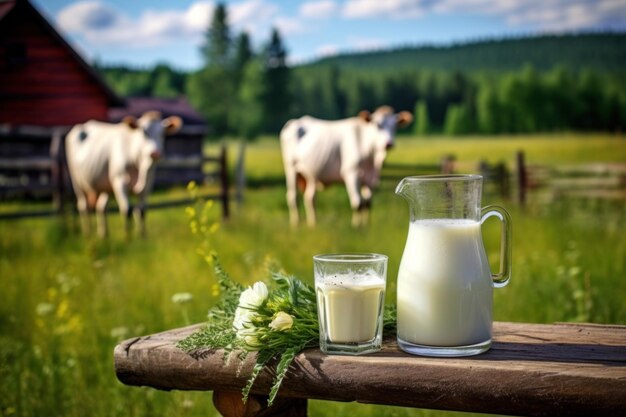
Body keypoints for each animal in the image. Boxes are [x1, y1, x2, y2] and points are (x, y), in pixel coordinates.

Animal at [280, 105, 412, 226]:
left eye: (395, 126)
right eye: (377, 125)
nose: (388, 144)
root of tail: (294, 121)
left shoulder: (370, 179)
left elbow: (367, 204)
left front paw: (367, 226)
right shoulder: (351, 173)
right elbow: (358, 203)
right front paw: (357, 227)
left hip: (311, 174)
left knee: (310, 198)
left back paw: (313, 224)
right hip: (291, 168)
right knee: (292, 197)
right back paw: (296, 224)